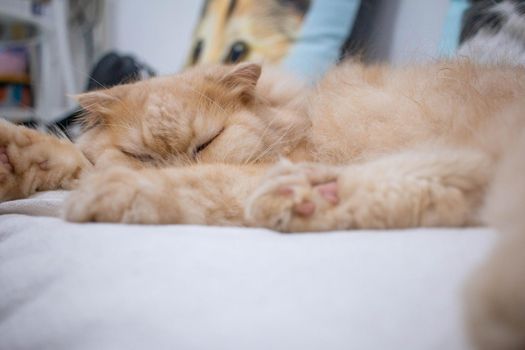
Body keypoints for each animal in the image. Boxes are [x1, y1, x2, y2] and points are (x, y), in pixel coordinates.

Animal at [1, 58, 524, 346]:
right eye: (142, 154)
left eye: (205, 143)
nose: (165, 167)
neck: (291, 113)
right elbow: (68, 157)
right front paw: (13, 158)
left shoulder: (257, 166)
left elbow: (200, 183)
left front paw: (106, 194)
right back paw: (308, 197)